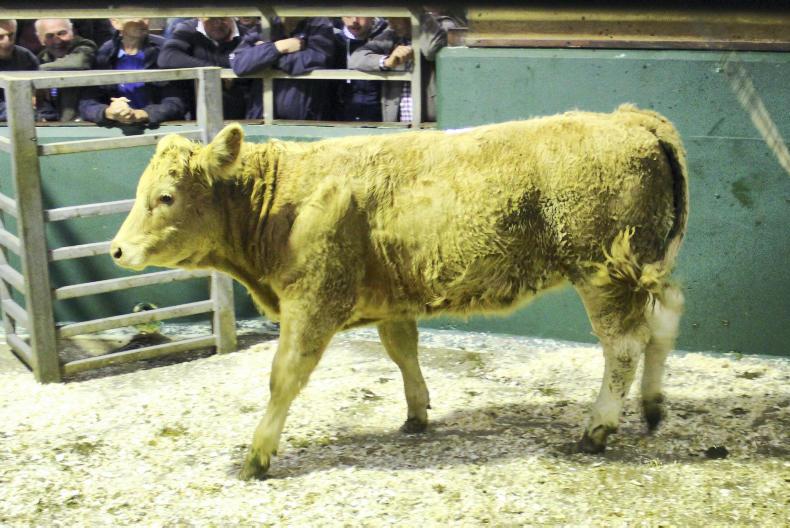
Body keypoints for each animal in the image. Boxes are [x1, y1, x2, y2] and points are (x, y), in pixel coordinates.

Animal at [110, 104, 688, 480]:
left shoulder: (312, 300)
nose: (116, 250)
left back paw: (597, 429)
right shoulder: (389, 297)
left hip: (603, 271)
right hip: (645, 266)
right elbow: (402, 351)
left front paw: (257, 456)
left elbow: (284, 377)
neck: (282, 200)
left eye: (165, 196)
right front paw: (416, 414)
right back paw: (653, 407)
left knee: (623, 346)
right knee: (666, 319)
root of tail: (627, 118)